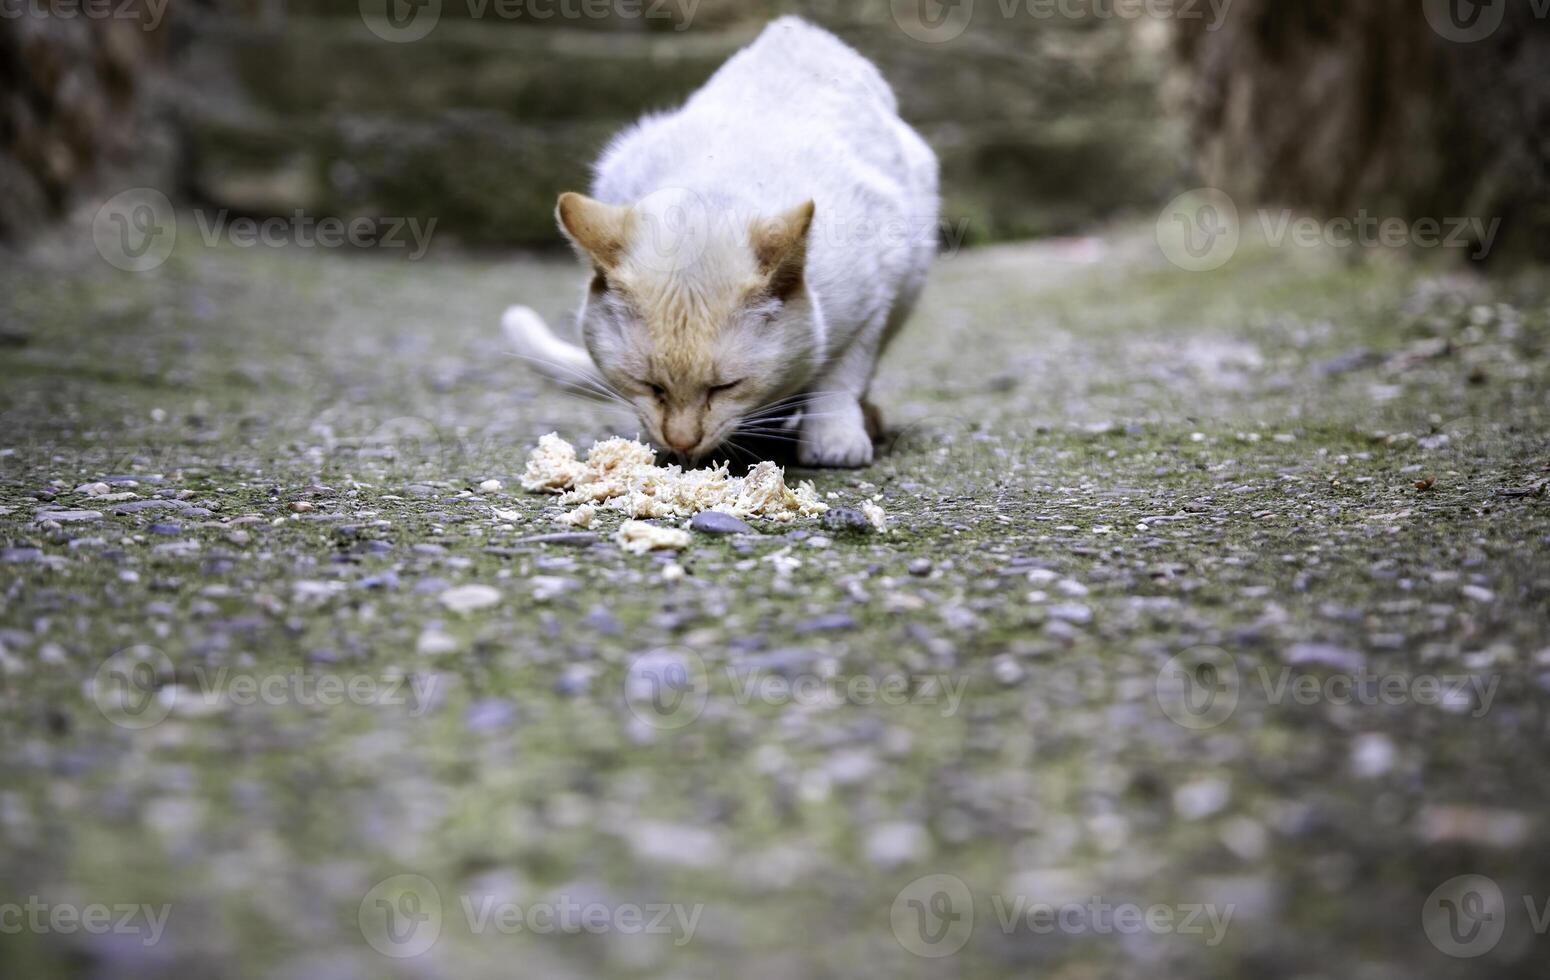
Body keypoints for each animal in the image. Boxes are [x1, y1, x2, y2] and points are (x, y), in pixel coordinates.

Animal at [502, 17, 936, 468]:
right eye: (650, 385)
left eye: (725, 387)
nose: (681, 441)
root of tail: (794, 27)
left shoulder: (875, 303)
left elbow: (839, 380)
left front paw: (834, 439)